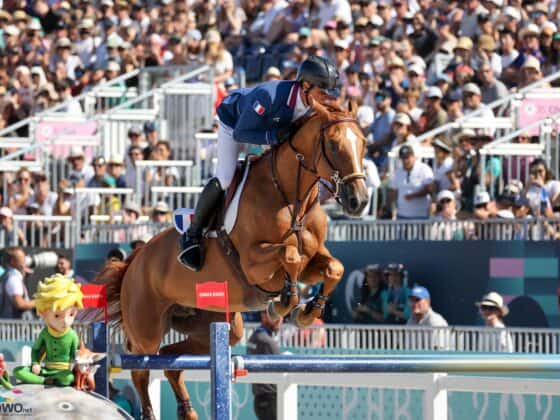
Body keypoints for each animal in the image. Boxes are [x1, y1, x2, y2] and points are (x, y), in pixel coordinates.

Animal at [94, 99, 370, 420]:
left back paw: (189, 412)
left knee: (170, 359)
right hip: (146, 328)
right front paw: (282, 303)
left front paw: (307, 311)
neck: (290, 195)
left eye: (363, 143)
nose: (359, 201)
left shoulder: (312, 260)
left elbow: (333, 267)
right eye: (334, 144)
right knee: (141, 368)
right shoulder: (254, 262)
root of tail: (133, 262)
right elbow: (288, 254)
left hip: (214, 324)